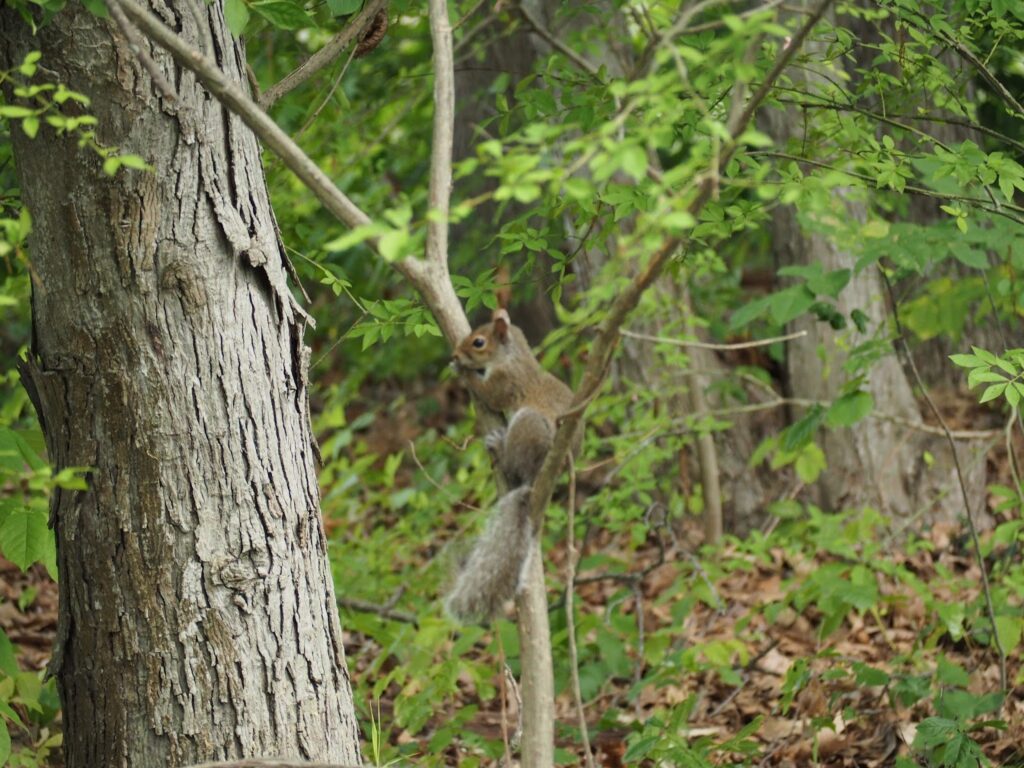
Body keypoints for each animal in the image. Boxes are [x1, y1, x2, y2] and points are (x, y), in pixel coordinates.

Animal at [445, 309, 582, 622]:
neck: (514, 355)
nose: (455, 354)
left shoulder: (506, 382)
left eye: (479, 342)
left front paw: (464, 372)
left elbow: (488, 393)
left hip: (528, 426)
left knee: (513, 463)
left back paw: (499, 446)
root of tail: (537, 480)